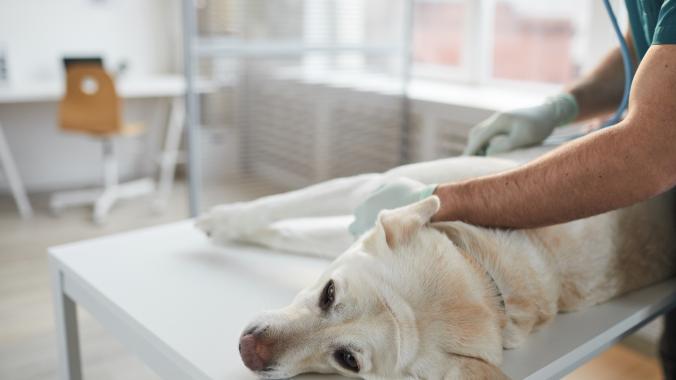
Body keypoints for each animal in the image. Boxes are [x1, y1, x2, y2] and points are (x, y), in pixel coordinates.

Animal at [195, 155, 676, 380]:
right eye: (328, 293)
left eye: (347, 359)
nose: (248, 350)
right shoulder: (370, 186)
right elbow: (279, 207)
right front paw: (220, 219)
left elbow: (289, 231)